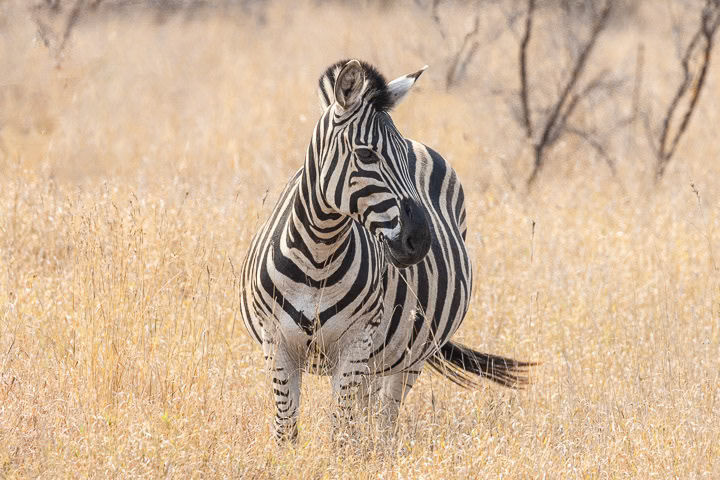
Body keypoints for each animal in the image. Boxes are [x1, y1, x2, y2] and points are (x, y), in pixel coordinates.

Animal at [239, 59, 532, 442]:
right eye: (365, 154)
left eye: (405, 161)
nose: (420, 240)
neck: (318, 255)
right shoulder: (277, 345)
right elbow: (287, 430)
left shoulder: (356, 344)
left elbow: (341, 433)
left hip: (409, 354)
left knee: (385, 420)